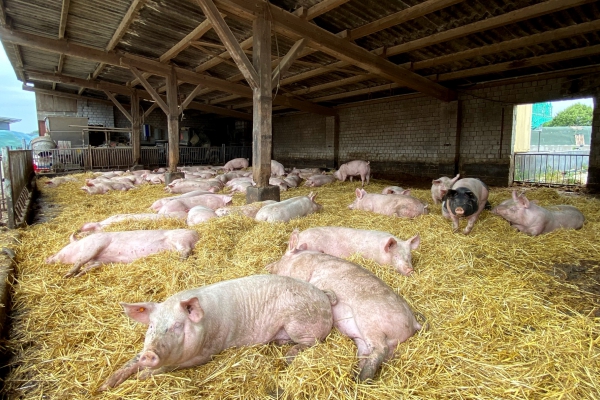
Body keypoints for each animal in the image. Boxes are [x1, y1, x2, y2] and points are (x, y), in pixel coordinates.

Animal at [45, 230, 199, 276]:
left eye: (63, 249)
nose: (47, 258)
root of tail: (197, 234)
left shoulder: (95, 244)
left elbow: (80, 260)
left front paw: (67, 275)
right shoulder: (100, 261)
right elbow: (90, 266)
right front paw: (79, 275)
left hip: (179, 239)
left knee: (186, 250)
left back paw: (180, 260)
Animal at [96, 276, 336, 390]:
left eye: (177, 326)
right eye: (152, 326)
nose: (149, 353)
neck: (206, 325)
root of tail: (323, 295)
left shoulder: (207, 352)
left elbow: (171, 366)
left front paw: (143, 376)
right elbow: (131, 361)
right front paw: (103, 387)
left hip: (298, 322)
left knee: (314, 341)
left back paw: (288, 355)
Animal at [268, 233, 422, 382]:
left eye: (282, 257)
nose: (269, 266)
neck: (298, 258)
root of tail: (414, 321)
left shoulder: (301, 272)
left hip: (369, 320)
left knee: (380, 349)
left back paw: (362, 379)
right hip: (364, 340)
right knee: (368, 354)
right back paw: (355, 377)